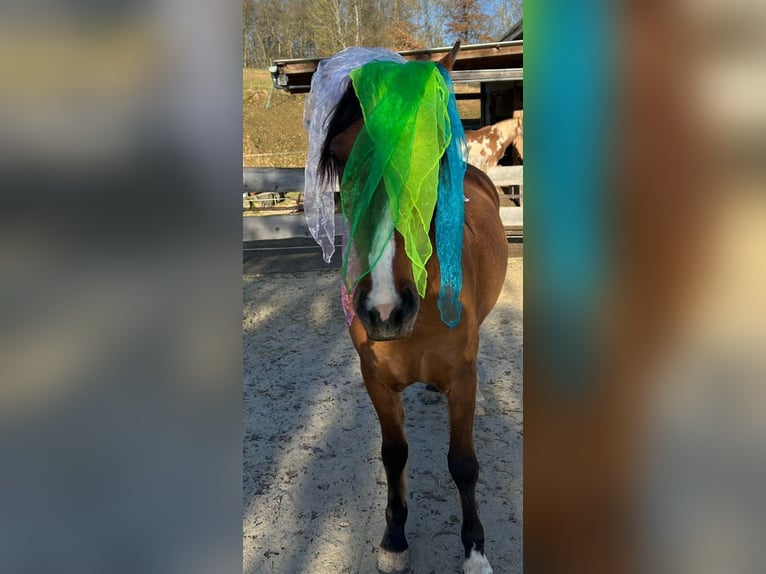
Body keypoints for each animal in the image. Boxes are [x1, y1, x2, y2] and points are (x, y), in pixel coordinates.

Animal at [304, 42, 508, 574]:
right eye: (341, 158)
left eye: (429, 154)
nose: (385, 308)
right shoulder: (375, 379)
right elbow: (394, 454)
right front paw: (394, 540)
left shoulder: (462, 378)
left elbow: (463, 463)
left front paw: (475, 550)